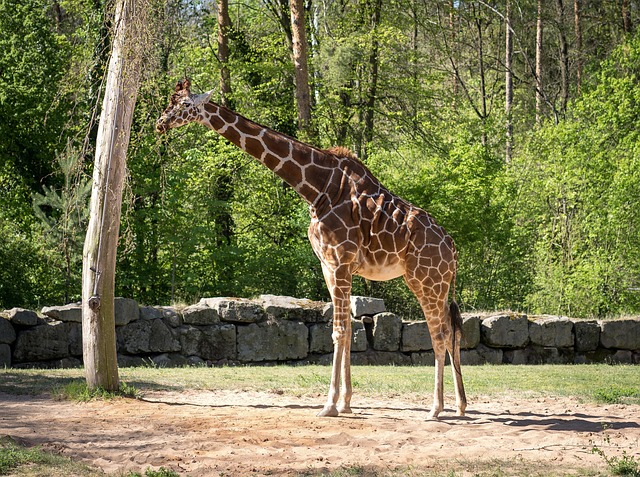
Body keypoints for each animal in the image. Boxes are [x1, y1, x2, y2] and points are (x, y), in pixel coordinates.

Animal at [155, 78, 464, 416]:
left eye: (185, 105)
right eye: (170, 101)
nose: (160, 123)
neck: (316, 188)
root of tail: (452, 248)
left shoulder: (341, 262)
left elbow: (340, 331)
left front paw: (329, 405)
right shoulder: (328, 265)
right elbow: (345, 331)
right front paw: (345, 403)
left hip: (424, 279)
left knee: (439, 334)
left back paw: (436, 409)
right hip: (437, 283)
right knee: (452, 331)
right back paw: (460, 405)